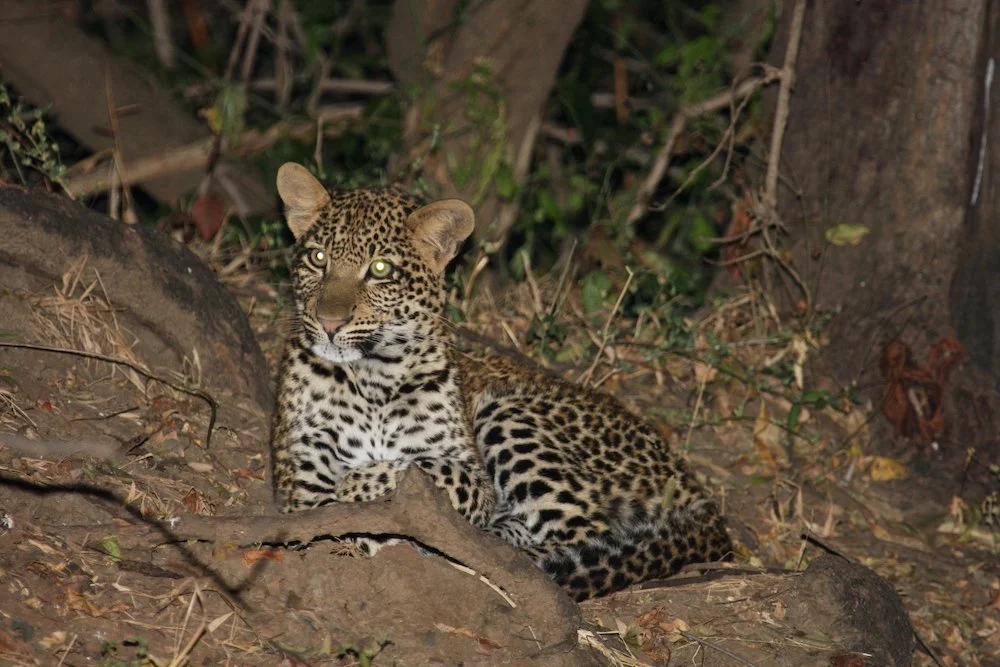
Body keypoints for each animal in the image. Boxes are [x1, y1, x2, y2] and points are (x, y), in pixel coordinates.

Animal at [270, 162, 732, 601]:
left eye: (380, 269)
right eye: (318, 259)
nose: (329, 323)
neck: (374, 379)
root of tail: (686, 478)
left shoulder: (471, 473)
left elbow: (430, 469)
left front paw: (364, 484)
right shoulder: (303, 487)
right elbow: (340, 525)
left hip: (509, 411)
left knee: (586, 530)